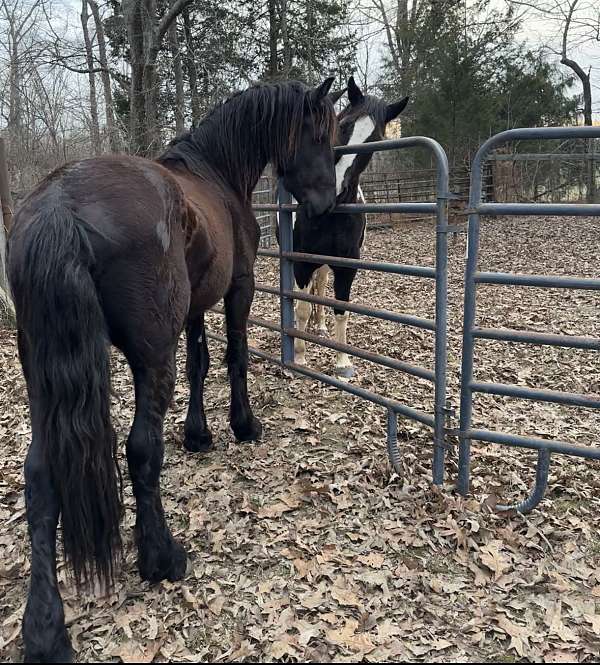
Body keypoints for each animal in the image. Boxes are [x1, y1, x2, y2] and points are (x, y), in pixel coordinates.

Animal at [8, 80, 338, 660]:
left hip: (42, 377)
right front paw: (242, 426)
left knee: (41, 478)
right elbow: (233, 357)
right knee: (141, 449)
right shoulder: (238, 288)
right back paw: (161, 557)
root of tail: (58, 205)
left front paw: (199, 435)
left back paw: (45, 630)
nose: (325, 206)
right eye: (320, 134)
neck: (215, 172)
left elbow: (200, 365)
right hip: (149, 356)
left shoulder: (194, 308)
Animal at [290, 76, 408, 376]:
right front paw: (299, 356)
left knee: (320, 286)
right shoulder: (301, 260)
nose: (335, 187)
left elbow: (340, 309)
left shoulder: (347, 264)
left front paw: (343, 363)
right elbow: (301, 308)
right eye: (343, 126)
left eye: (375, 140)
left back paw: (319, 326)